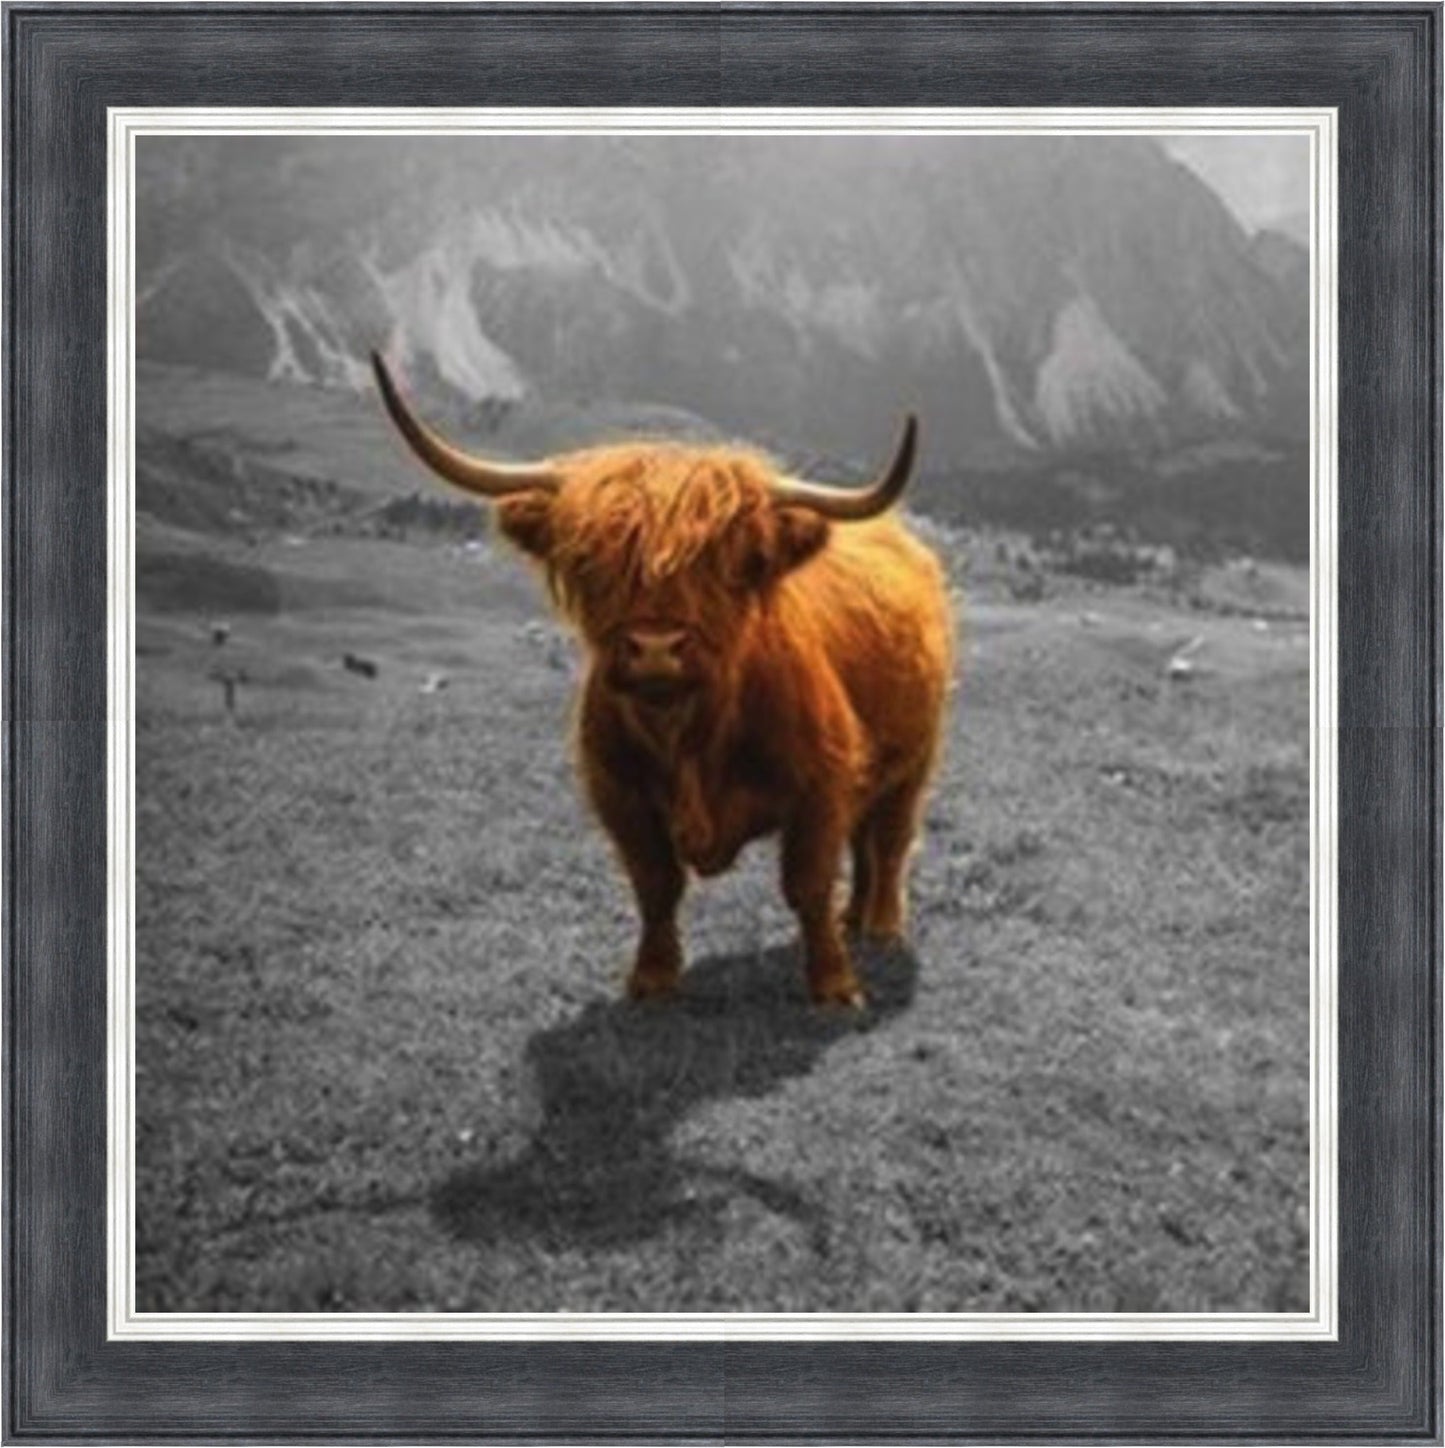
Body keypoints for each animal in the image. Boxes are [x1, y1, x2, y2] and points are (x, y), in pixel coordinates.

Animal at [372, 353, 953, 1008]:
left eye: (732, 563)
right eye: (591, 561)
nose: (655, 649)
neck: (687, 734)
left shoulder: (820, 785)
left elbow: (807, 884)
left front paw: (833, 984)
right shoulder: (619, 794)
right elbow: (654, 885)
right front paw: (651, 976)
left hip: (915, 759)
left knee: (890, 837)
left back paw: (879, 924)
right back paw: (855, 917)